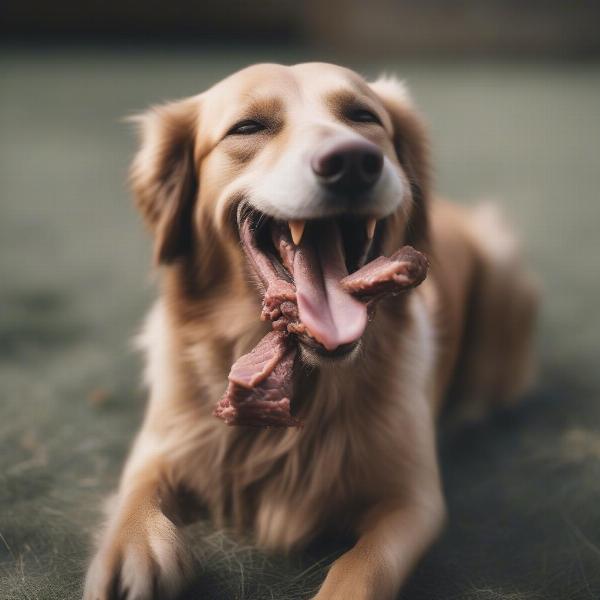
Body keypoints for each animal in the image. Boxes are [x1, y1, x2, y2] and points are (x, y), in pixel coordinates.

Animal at [82, 63, 536, 596]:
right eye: (248, 127)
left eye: (364, 116)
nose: (353, 162)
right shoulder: (161, 444)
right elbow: (135, 492)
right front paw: (130, 549)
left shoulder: (412, 500)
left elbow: (361, 567)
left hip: (502, 268)